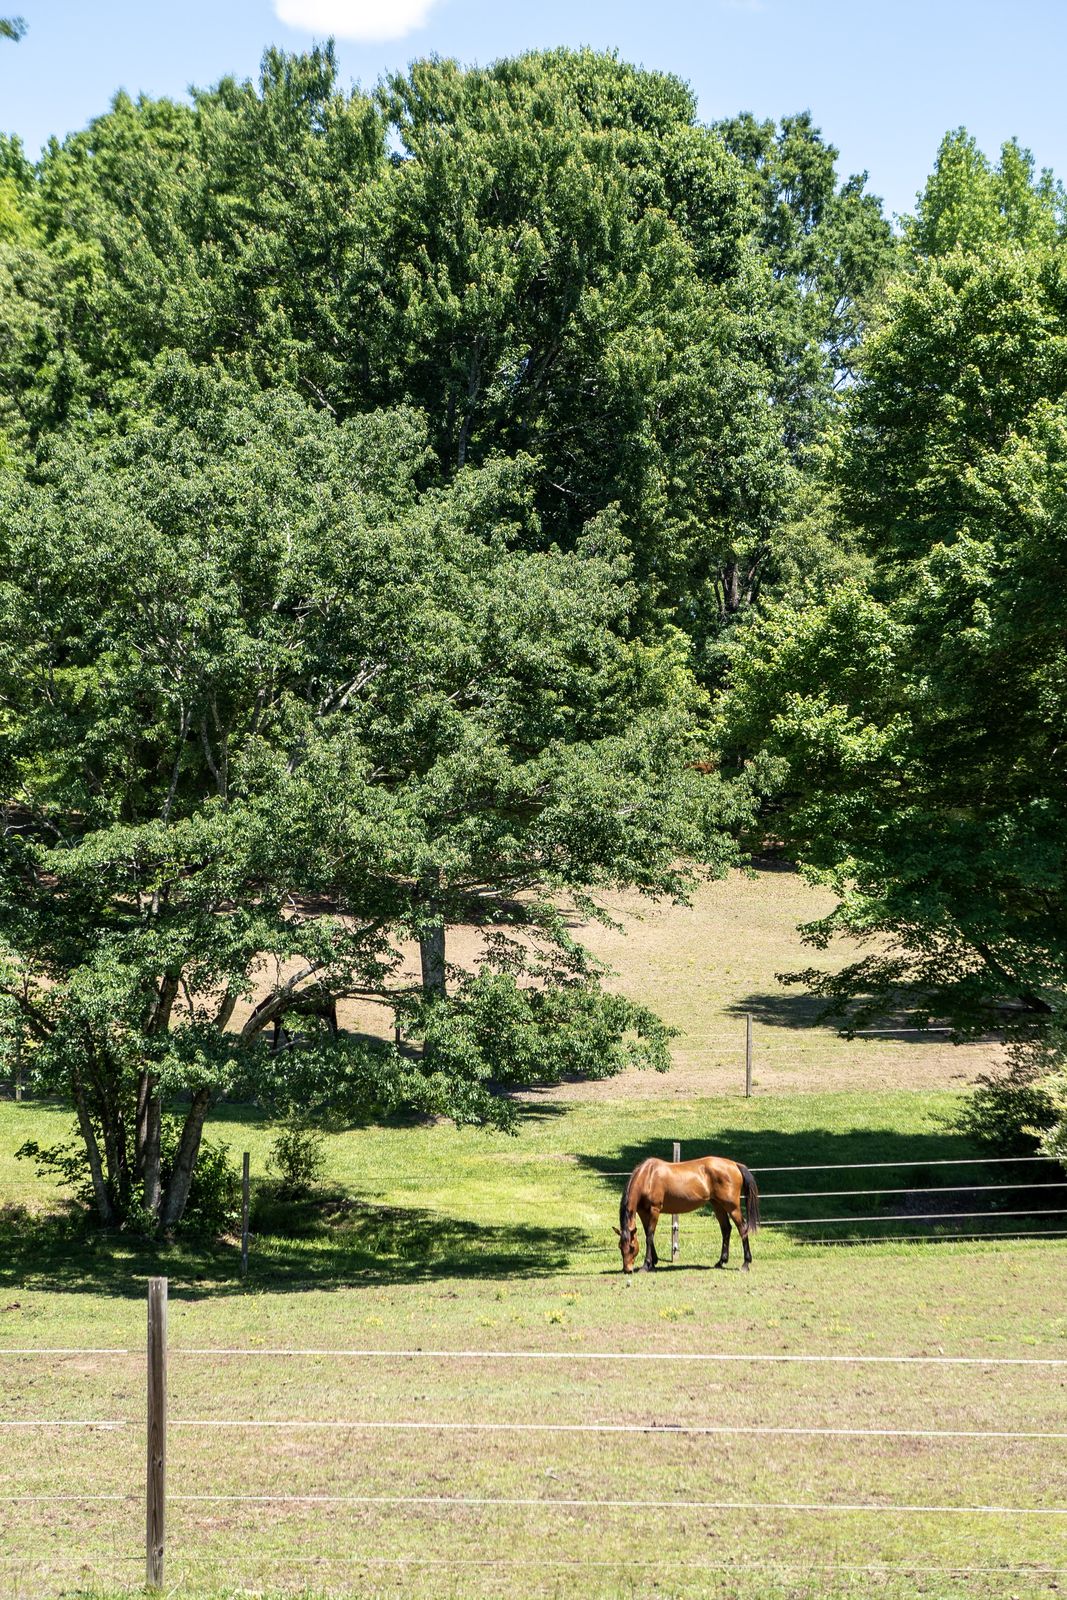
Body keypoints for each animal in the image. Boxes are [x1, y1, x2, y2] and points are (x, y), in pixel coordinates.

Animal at [615, 1155, 760, 1275]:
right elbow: (647, 1234)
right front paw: (653, 1262)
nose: (627, 1270)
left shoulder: (654, 1210)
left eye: (632, 1247)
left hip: (732, 1207)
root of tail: (735, 1164)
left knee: (742, 1228)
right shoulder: (643, 1212)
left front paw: (646, 1265)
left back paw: (745, 1264)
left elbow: (649, 1236)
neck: (647, 1177)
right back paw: (720, 1262)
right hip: (718, 1205)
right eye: (620, 1246)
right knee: (726, 1229)